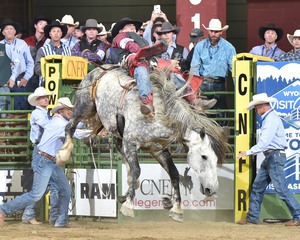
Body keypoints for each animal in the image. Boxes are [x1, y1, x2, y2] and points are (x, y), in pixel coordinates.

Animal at [58, 64, 230, 222]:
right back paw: (63, 154)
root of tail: (100, 69)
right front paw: (128, 206)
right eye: (204, 156)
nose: (211, 189)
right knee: (69, 127)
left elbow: (174, 173)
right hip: (84, 106)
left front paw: (176, 209)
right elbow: (137, 170)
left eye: (217, 159)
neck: (161, 116)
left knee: (119, 148)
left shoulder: (158, 150)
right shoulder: (131, 142)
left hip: (116, 131)